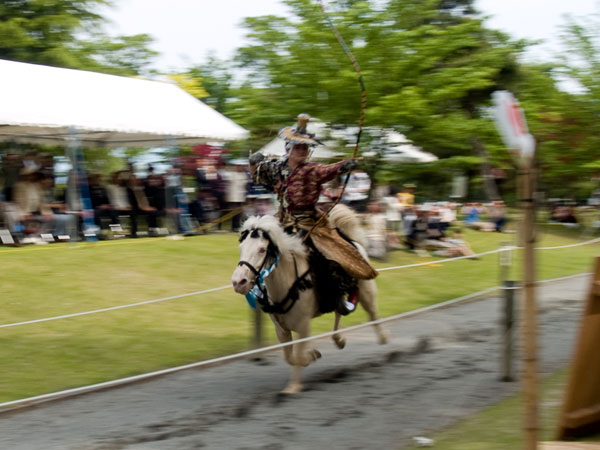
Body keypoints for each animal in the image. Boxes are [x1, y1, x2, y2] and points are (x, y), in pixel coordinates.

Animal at [232, 205, 386, 394]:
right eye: (241, 247)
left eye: (261, 249)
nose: (238, 282)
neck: (289, 283)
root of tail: (355, 242)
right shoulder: (281, 330)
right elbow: (289, 356)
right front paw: (312, 356)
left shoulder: (303, 326)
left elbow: (297, 356)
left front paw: (294, 386)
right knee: (339, 311)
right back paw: (339, 340)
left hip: (366, 290)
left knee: (372, 313)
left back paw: (384, 339)